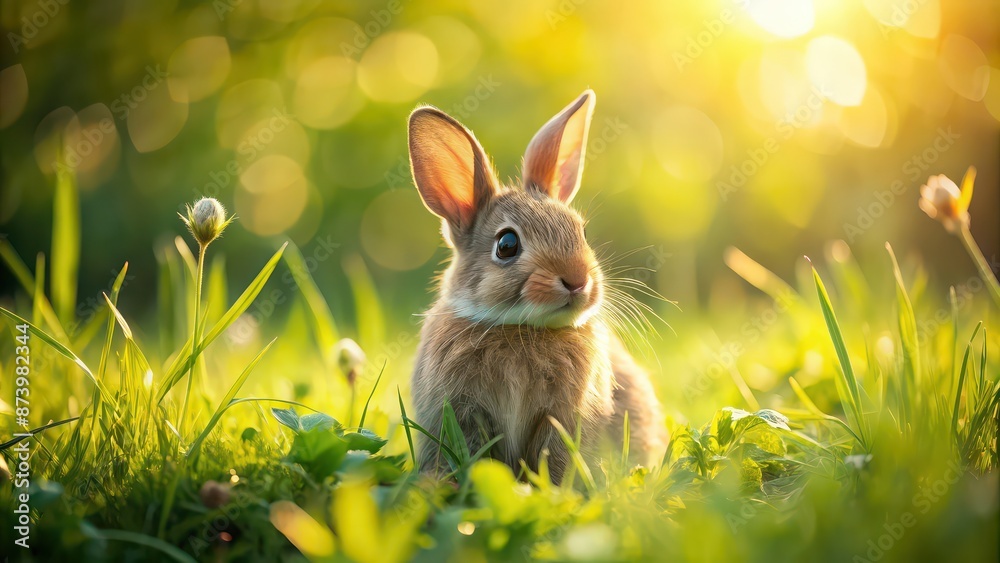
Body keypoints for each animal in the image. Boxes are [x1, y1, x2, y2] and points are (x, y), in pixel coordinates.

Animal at [406, 88, 664, 484]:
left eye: (581, 232)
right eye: (507, 245)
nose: (578, 280)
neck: (520, 327)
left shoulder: (561, 417)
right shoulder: (464, 411)